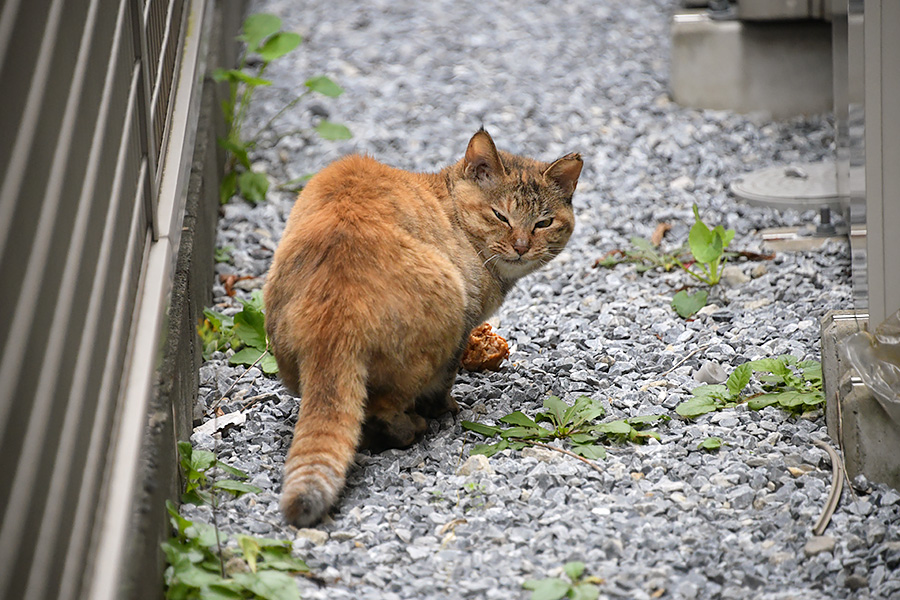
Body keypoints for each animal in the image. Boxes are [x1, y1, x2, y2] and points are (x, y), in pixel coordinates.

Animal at [264, 127, 584, 524]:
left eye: (543, 223)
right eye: (500, 216)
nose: (522, 246)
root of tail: (335, 320)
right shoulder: (463, 330)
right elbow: (443, 385)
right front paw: (445, 408)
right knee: (382, 407)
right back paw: (412, 427)